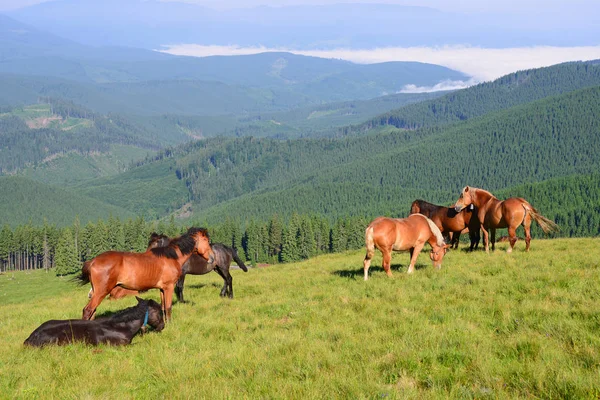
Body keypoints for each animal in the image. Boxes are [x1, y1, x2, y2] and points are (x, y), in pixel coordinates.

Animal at [76, 228, 214, 322]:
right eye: (206, 240)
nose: (212, 258)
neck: (170, 256)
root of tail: (92, 261)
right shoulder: (169, 287)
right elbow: (168, 307)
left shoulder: (162, 289)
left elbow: (163, 307)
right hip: (101, 292)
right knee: (88, 310)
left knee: (93, 311)